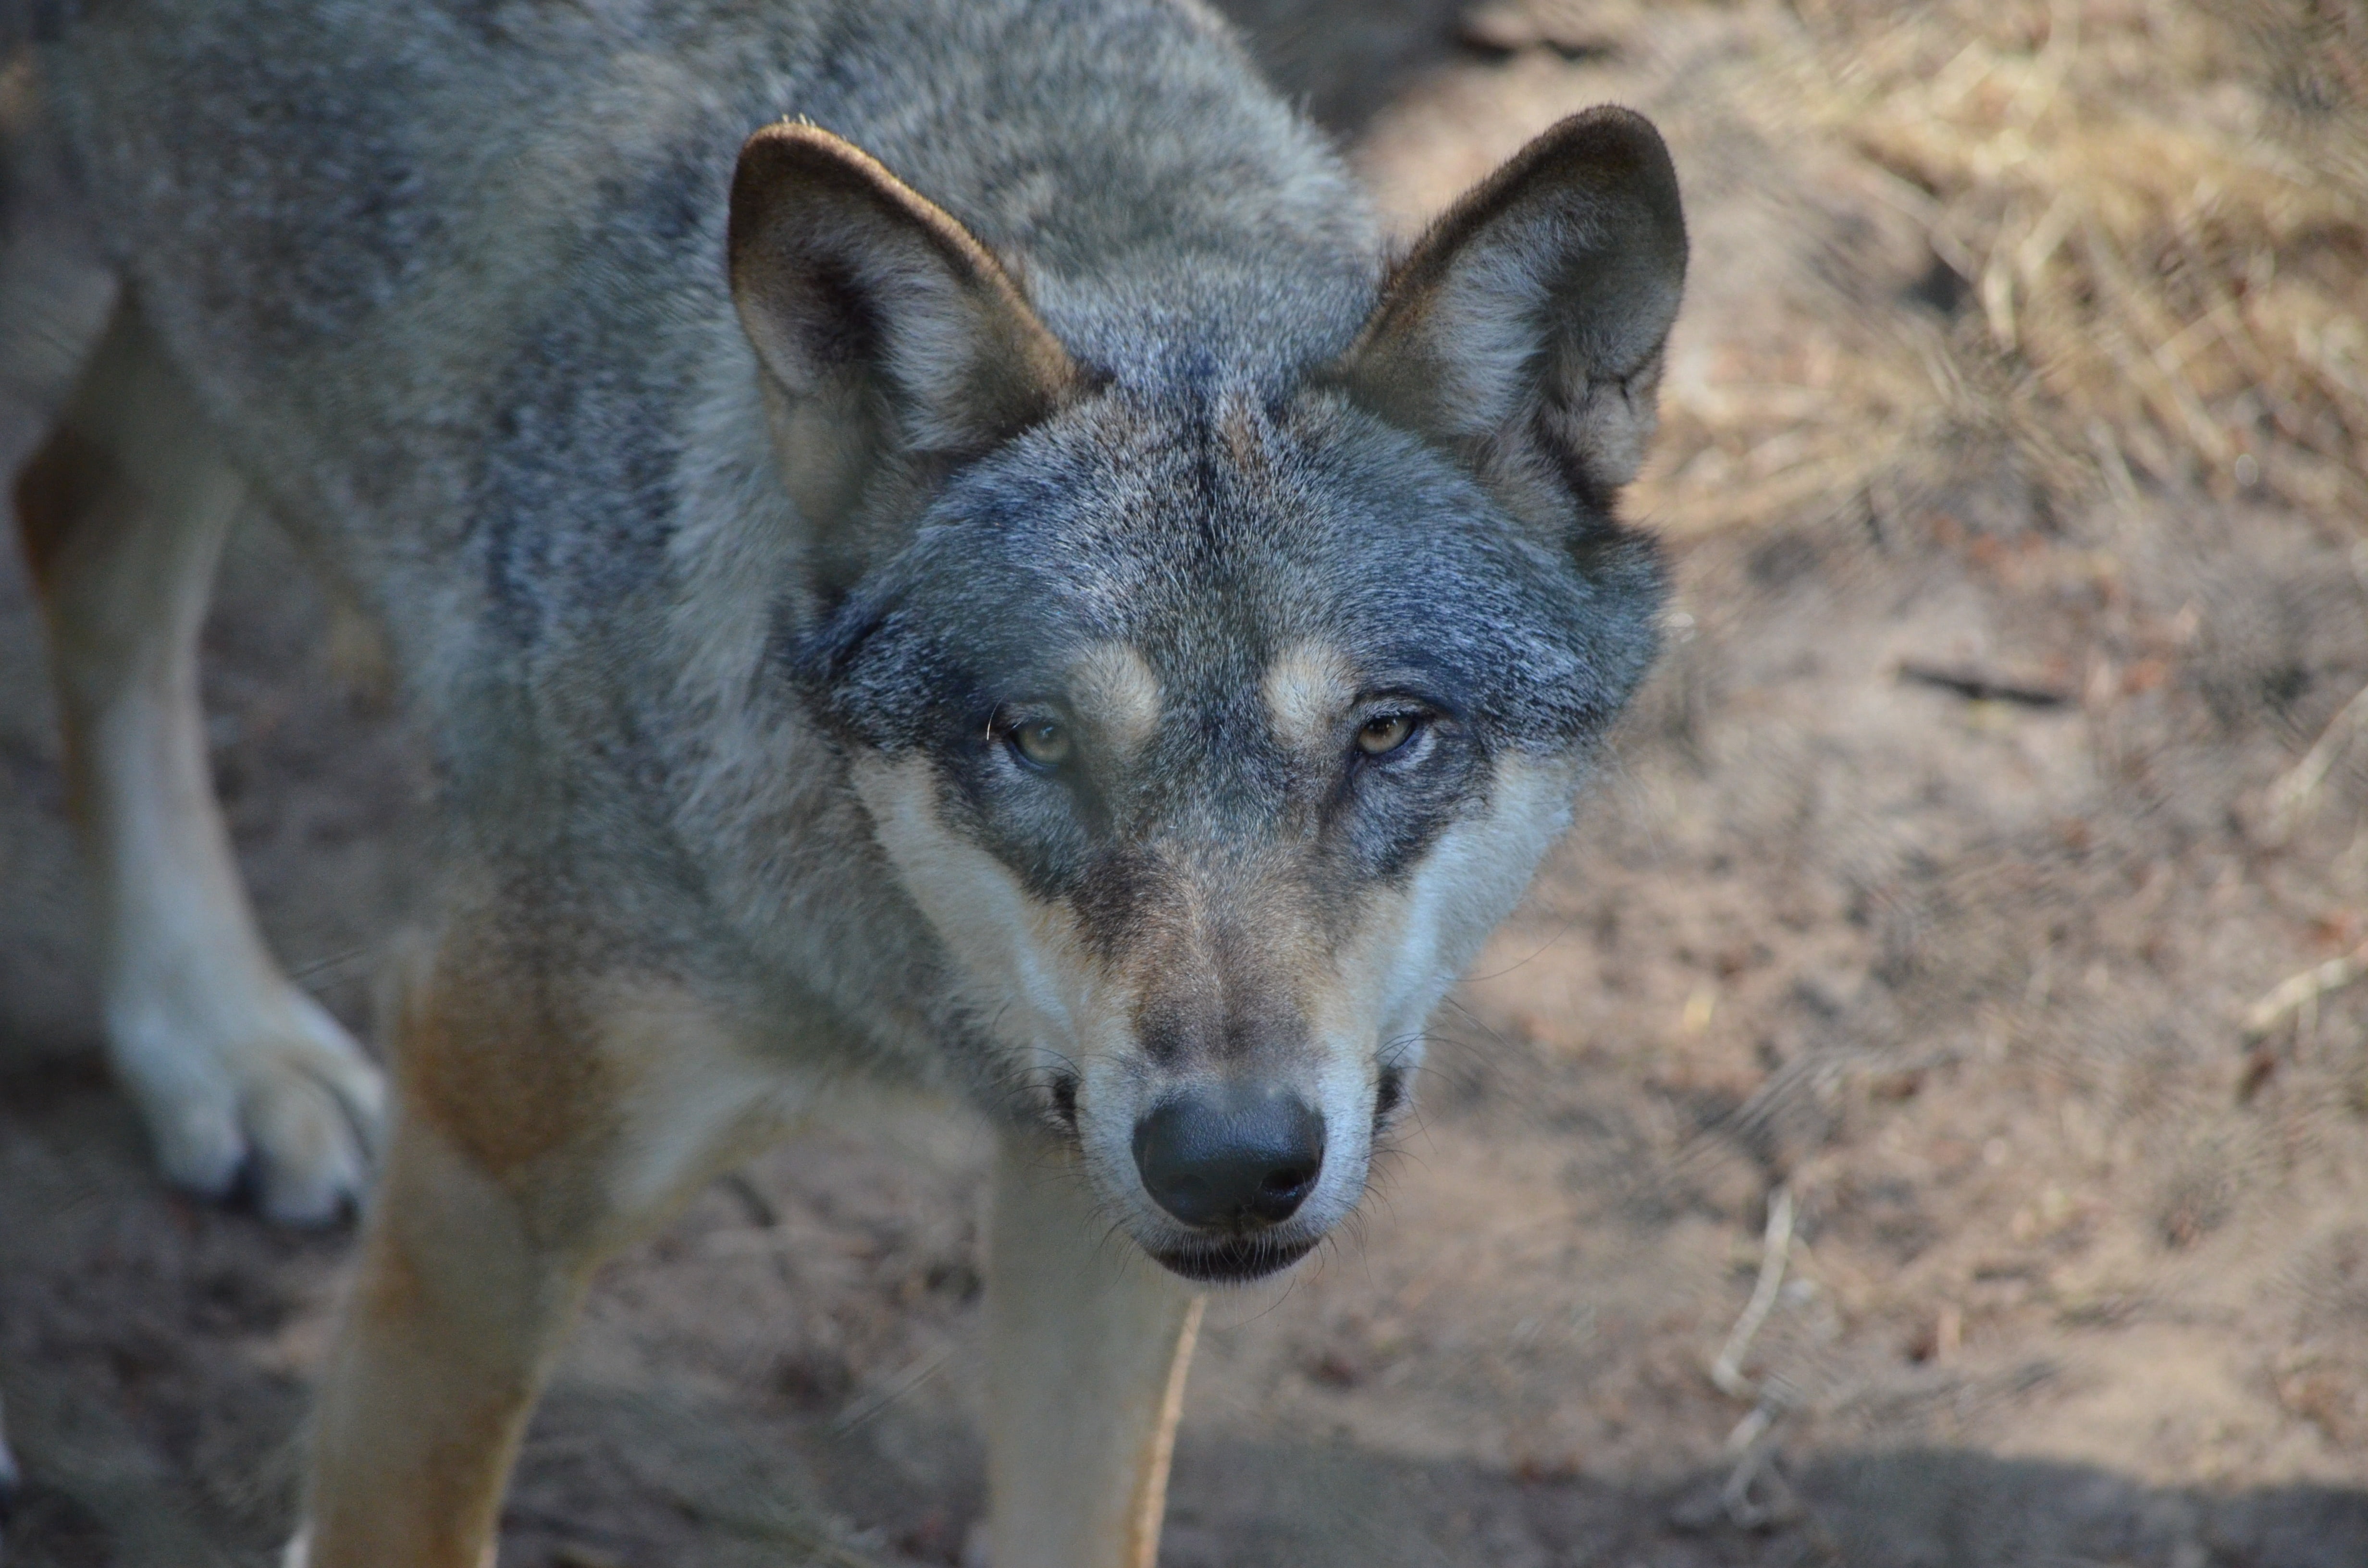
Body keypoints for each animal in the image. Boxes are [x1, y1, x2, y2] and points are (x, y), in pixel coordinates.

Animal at [4, 0, 1684, 1561]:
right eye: (1034, 736)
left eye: (1386, 733)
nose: (1227, 1163)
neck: (898, 989)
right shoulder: (485, 1175)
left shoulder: (1089, 1220)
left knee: (80, 518)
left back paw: (215, 1045)